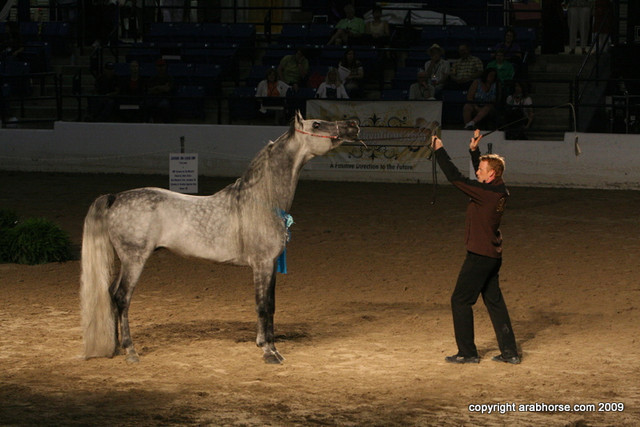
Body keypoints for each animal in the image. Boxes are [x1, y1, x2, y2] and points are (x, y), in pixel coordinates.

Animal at [80, 111, 360, 364]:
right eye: (316, 124)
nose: (353, 125)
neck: (262, 201)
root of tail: (115, 197)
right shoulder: (262, 265)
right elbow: (262, 305)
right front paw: (270, 352)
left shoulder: (270, 266)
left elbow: (271, 305)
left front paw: (265, 343)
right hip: (134, 259)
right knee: (122, 297)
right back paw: (130, 351)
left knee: (110, 294)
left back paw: (115, 346)